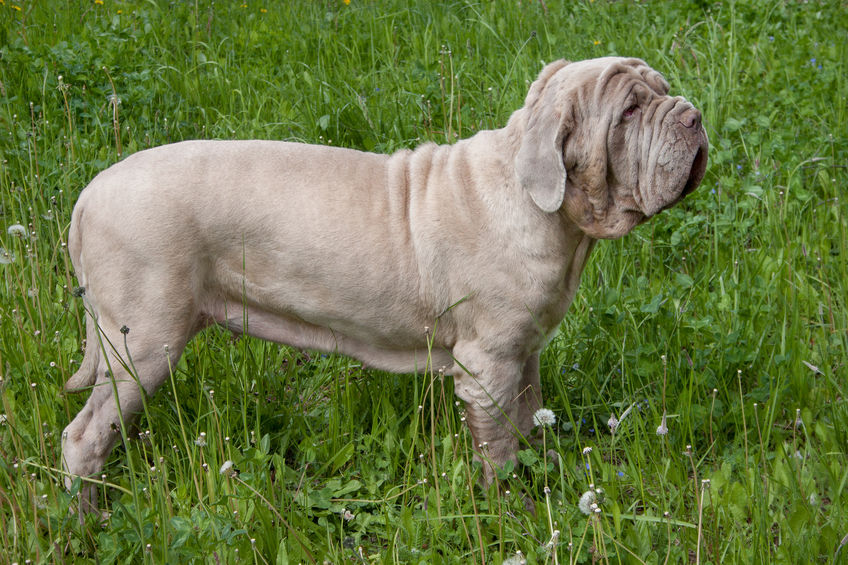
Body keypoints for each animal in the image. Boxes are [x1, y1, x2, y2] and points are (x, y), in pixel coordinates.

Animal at [61, 56, 708, 506]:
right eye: (629, 111)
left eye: (661, 88)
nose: (693, 115)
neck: (540, 206)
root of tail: (89, 195)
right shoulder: (488, 365)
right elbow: (499, 452)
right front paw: (512, 513)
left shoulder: (524, 355)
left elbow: (529, 427)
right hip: (143, 345)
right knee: (84, 437)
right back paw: (88, 519)